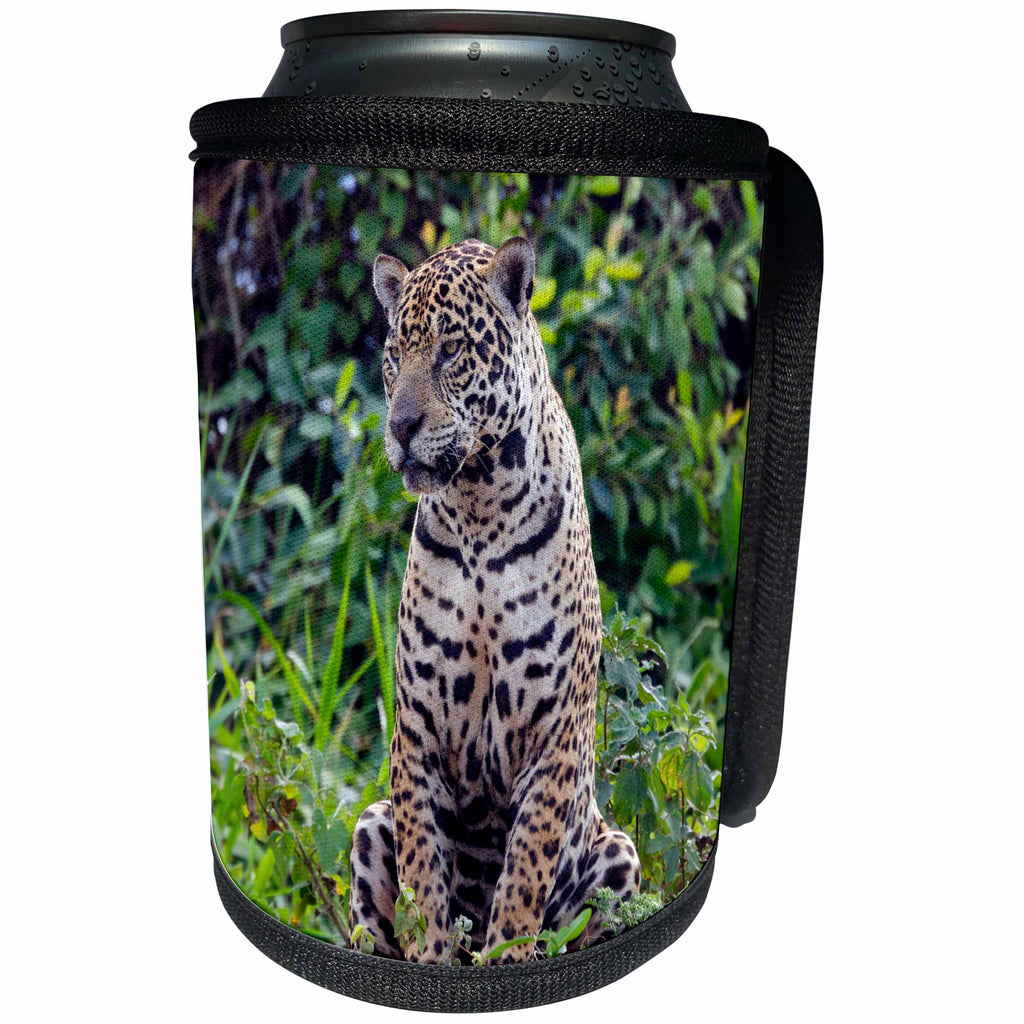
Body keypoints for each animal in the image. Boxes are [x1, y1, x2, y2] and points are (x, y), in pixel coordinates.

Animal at [349, 237, 640, 964]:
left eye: (451, 350)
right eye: (396, 353)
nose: (401, 426)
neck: (478, 505)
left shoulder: (555, 735)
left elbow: (525, 871)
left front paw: (504, 957)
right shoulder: (417, 732)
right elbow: (425, 878)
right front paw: (433, 962)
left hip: (618, 851)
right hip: (369, 824)